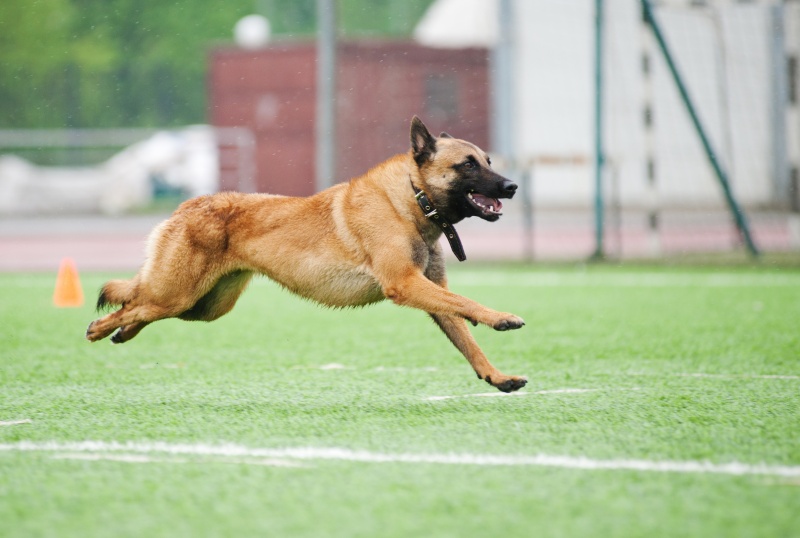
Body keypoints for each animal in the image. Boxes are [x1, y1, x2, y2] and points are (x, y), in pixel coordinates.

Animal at [87, 117, 528, 392]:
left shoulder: (429, 289)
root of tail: (186, 205)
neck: (412, 197)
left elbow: (467, 339)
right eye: (468, 165)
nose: (512, 187)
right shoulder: (405, 284)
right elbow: (467, 303)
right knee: (132, 304)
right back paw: (99, 329)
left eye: (488, 161)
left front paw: (497, 376)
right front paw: (501, 317)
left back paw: (121, 332)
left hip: (204, 306)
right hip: (179, 293)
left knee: (137, 305)